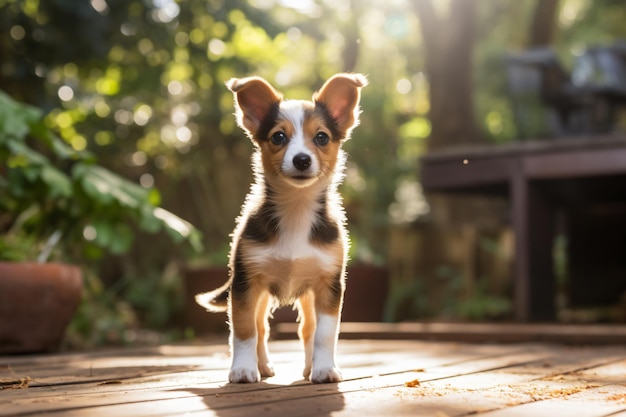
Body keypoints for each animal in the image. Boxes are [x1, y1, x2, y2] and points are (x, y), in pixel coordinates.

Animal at [196, 72, 366, 384]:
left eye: (322, 137)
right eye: (278, 137)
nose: (302, 159)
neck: (296, 209)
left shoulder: (328, 286)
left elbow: (324, 333)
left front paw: (324, 368)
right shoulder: (246, 285)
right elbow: (244, 331)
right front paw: (243, 369)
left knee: (307, 328)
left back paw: (310, 367)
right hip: (260, 294)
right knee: (261, 327)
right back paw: (261, 366)